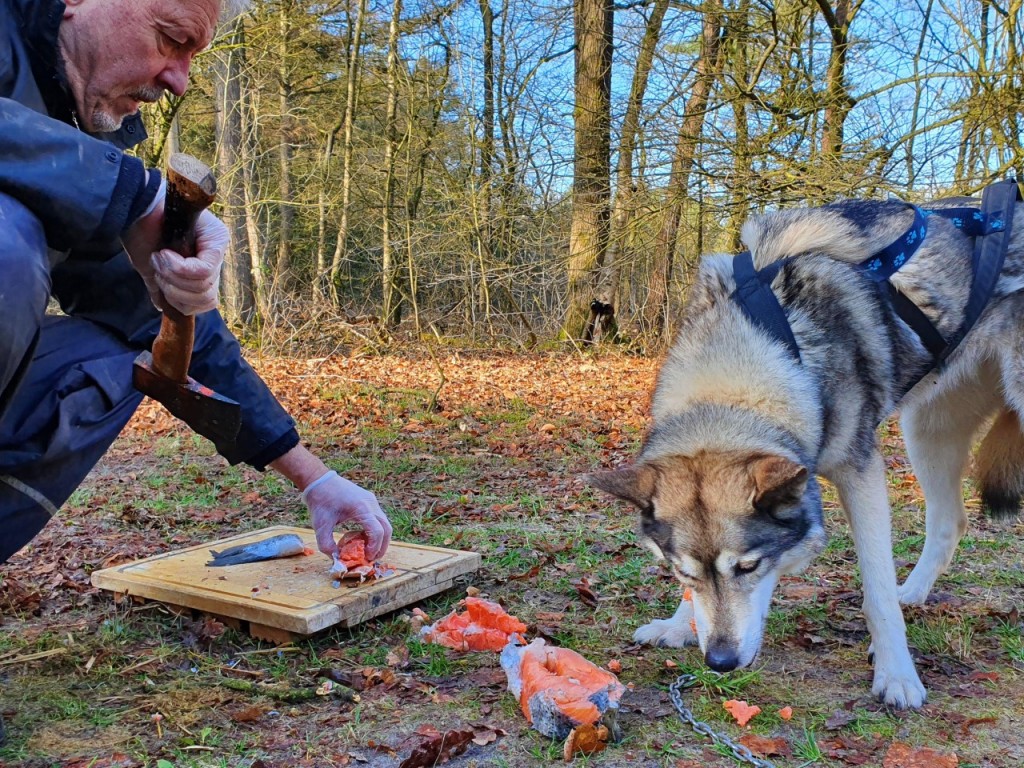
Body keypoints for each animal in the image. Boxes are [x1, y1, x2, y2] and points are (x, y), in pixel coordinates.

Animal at [593, 192, 1024, 708]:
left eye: (749, 566)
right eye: (683, 572)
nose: (720, 662)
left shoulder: (861, 473)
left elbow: (876, 590)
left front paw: (897, 674)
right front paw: (679, 626)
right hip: (927, 433)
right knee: (950, 522)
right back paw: (913, 593)